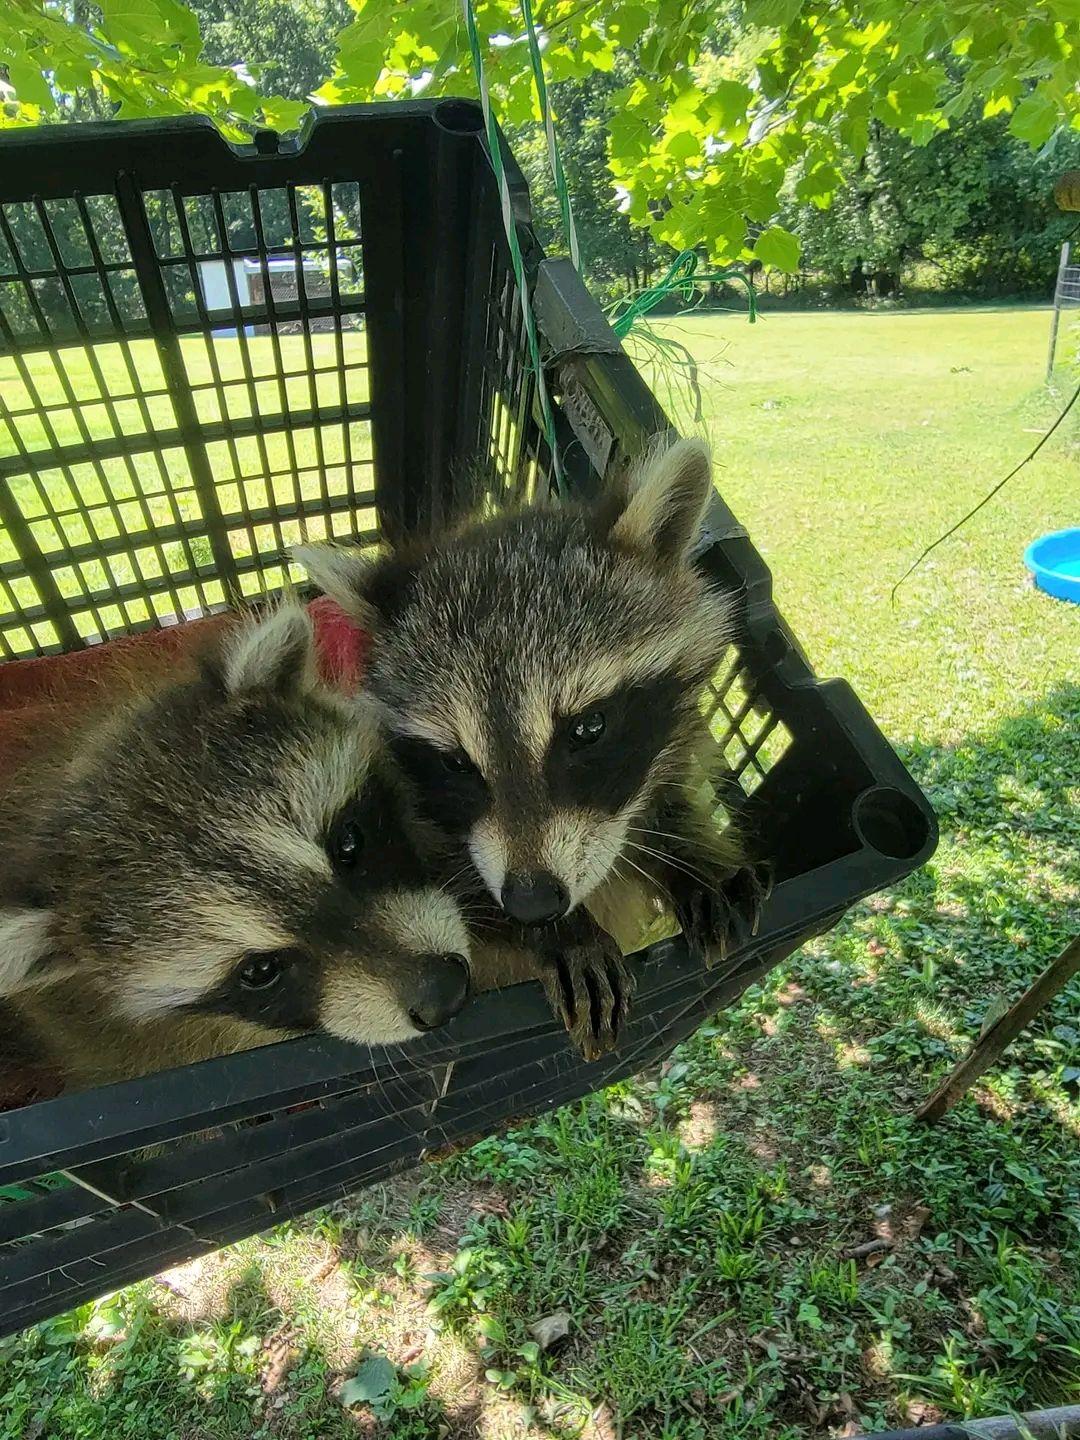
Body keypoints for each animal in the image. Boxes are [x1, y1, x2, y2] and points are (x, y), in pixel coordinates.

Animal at [295, 438, 769, 1053]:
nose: (534, 905)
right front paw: (567, 935)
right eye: (456, 762)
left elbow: (663, 792)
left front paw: (692, 853)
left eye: (588, 729)